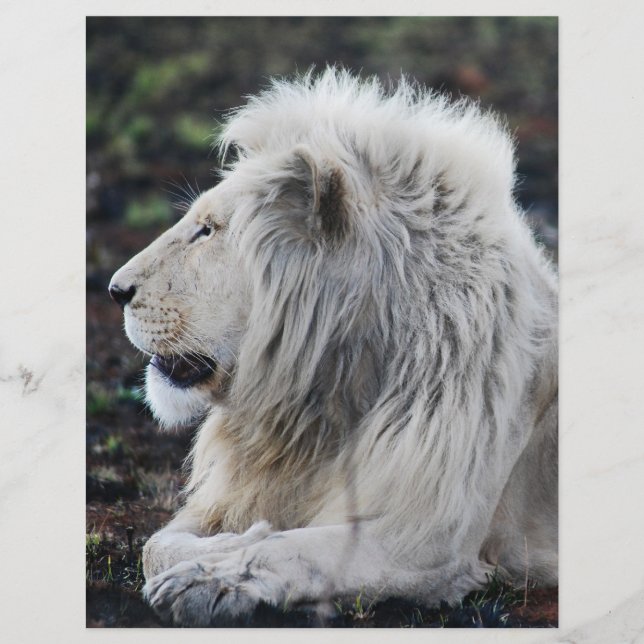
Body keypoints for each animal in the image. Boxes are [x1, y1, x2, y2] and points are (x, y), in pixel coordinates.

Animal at [109, 69, 558, 626]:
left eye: (207, 231)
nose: (114, 290)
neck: (326, 399)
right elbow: (157, 545)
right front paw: (227, 543)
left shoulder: (427, 541)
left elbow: (294, 550)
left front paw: (211, 577)